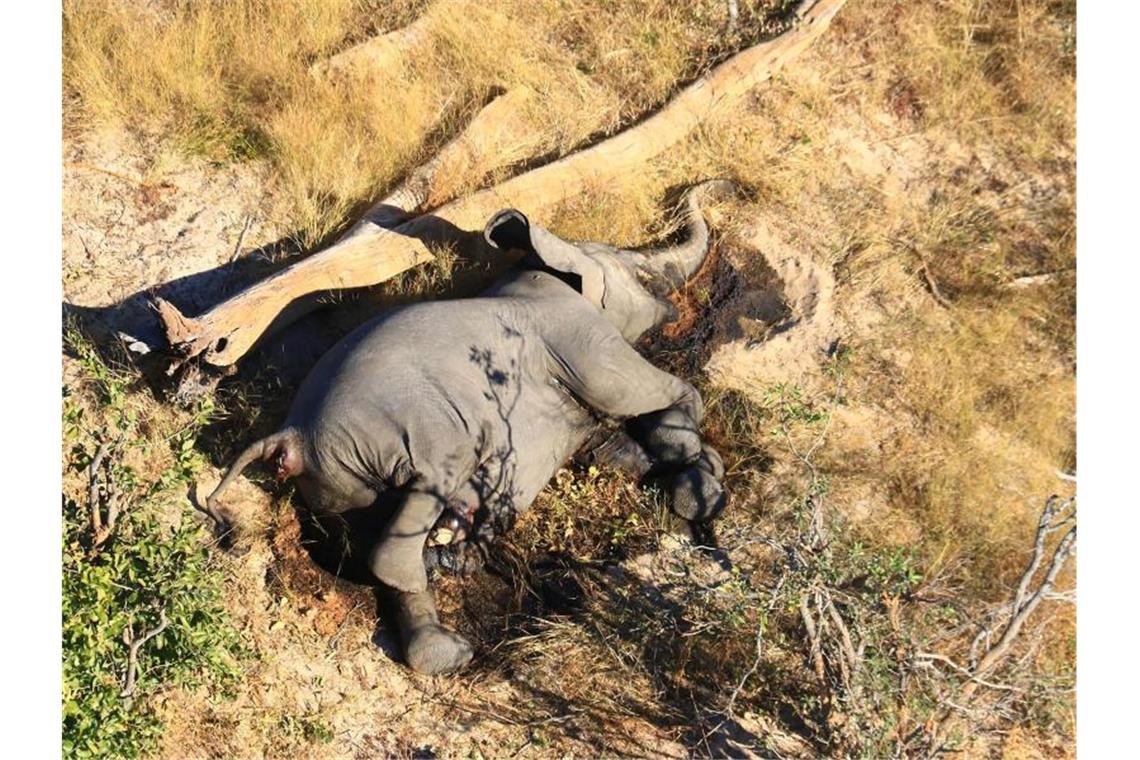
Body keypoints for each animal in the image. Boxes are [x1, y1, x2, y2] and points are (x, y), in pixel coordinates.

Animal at [207, 181, 729, 674]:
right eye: (643, 274)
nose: (718, 187)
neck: (547, 266)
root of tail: (289, 435)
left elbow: (609, 447)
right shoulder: (579, 337)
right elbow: (651, 394)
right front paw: (703, 490)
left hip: (342, 485)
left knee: (377, 528)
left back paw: (445, 632)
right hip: (403, 433)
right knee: (416, 507)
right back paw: (450, 608)